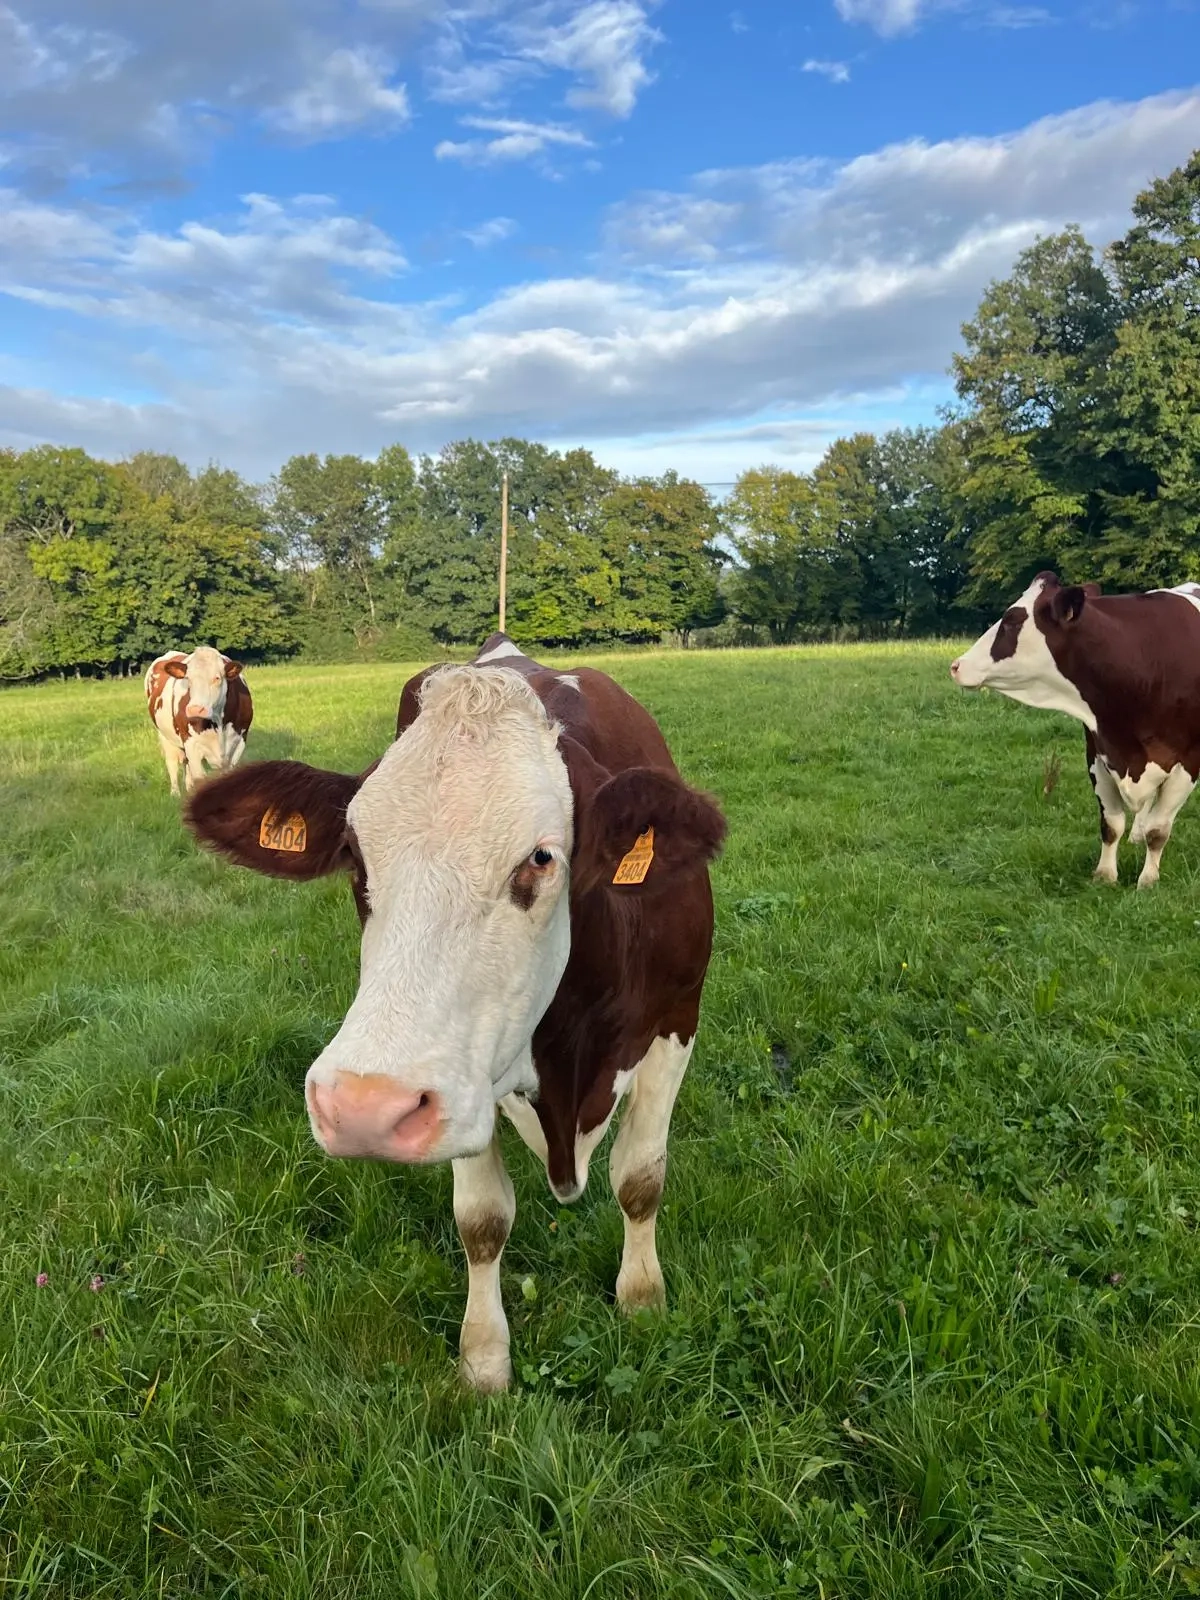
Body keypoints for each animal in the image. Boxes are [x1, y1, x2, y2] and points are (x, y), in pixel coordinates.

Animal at [145, 646, 253, 795]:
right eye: (188, 679)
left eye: (217, 678)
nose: (195, 709)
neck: (218, 723)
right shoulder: (191, 742)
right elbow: (199, 778)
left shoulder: (240, 740)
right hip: (164, 735)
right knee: (172, 762)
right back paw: (175, 793)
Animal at [183, 632, 727, 1390]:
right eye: (355, 856)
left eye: (540, 857)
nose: (363, 1106)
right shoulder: (467, 1078)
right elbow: (482, 1219)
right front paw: (484, 1358)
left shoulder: (678, 1016)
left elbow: (641, 1178)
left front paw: (642, 1300)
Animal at [951, 572, 1200, 888]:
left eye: (1011, 621)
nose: (956, 665)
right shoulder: (1098, 752)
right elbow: (1111, 824)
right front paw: (1104, 875)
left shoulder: (1188, 762)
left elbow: (1159, 830)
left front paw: (1148, 880)